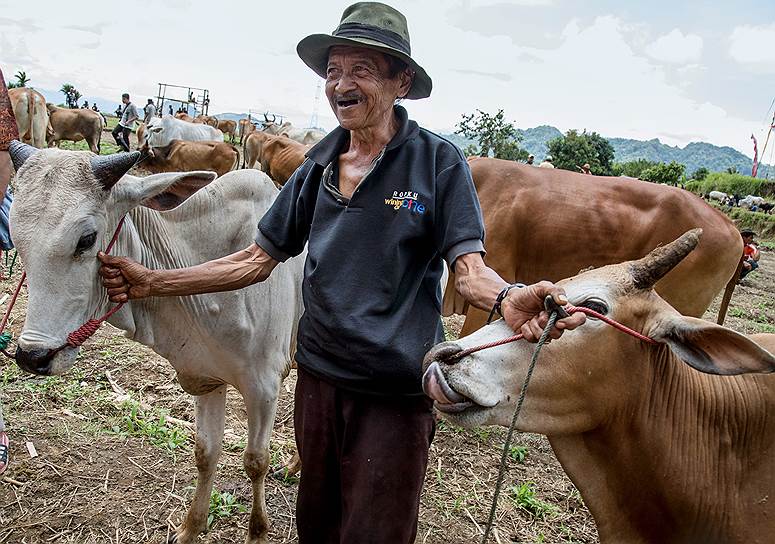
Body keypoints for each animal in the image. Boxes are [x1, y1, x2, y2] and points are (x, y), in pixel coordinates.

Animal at [9, 141, 306, 544]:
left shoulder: (264, 386)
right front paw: (191, 527)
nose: (32, 356)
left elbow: (256, 461)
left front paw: (258, 531)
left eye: (86, 239)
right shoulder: (206, 378)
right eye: (16, 239)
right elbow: (205, 453)